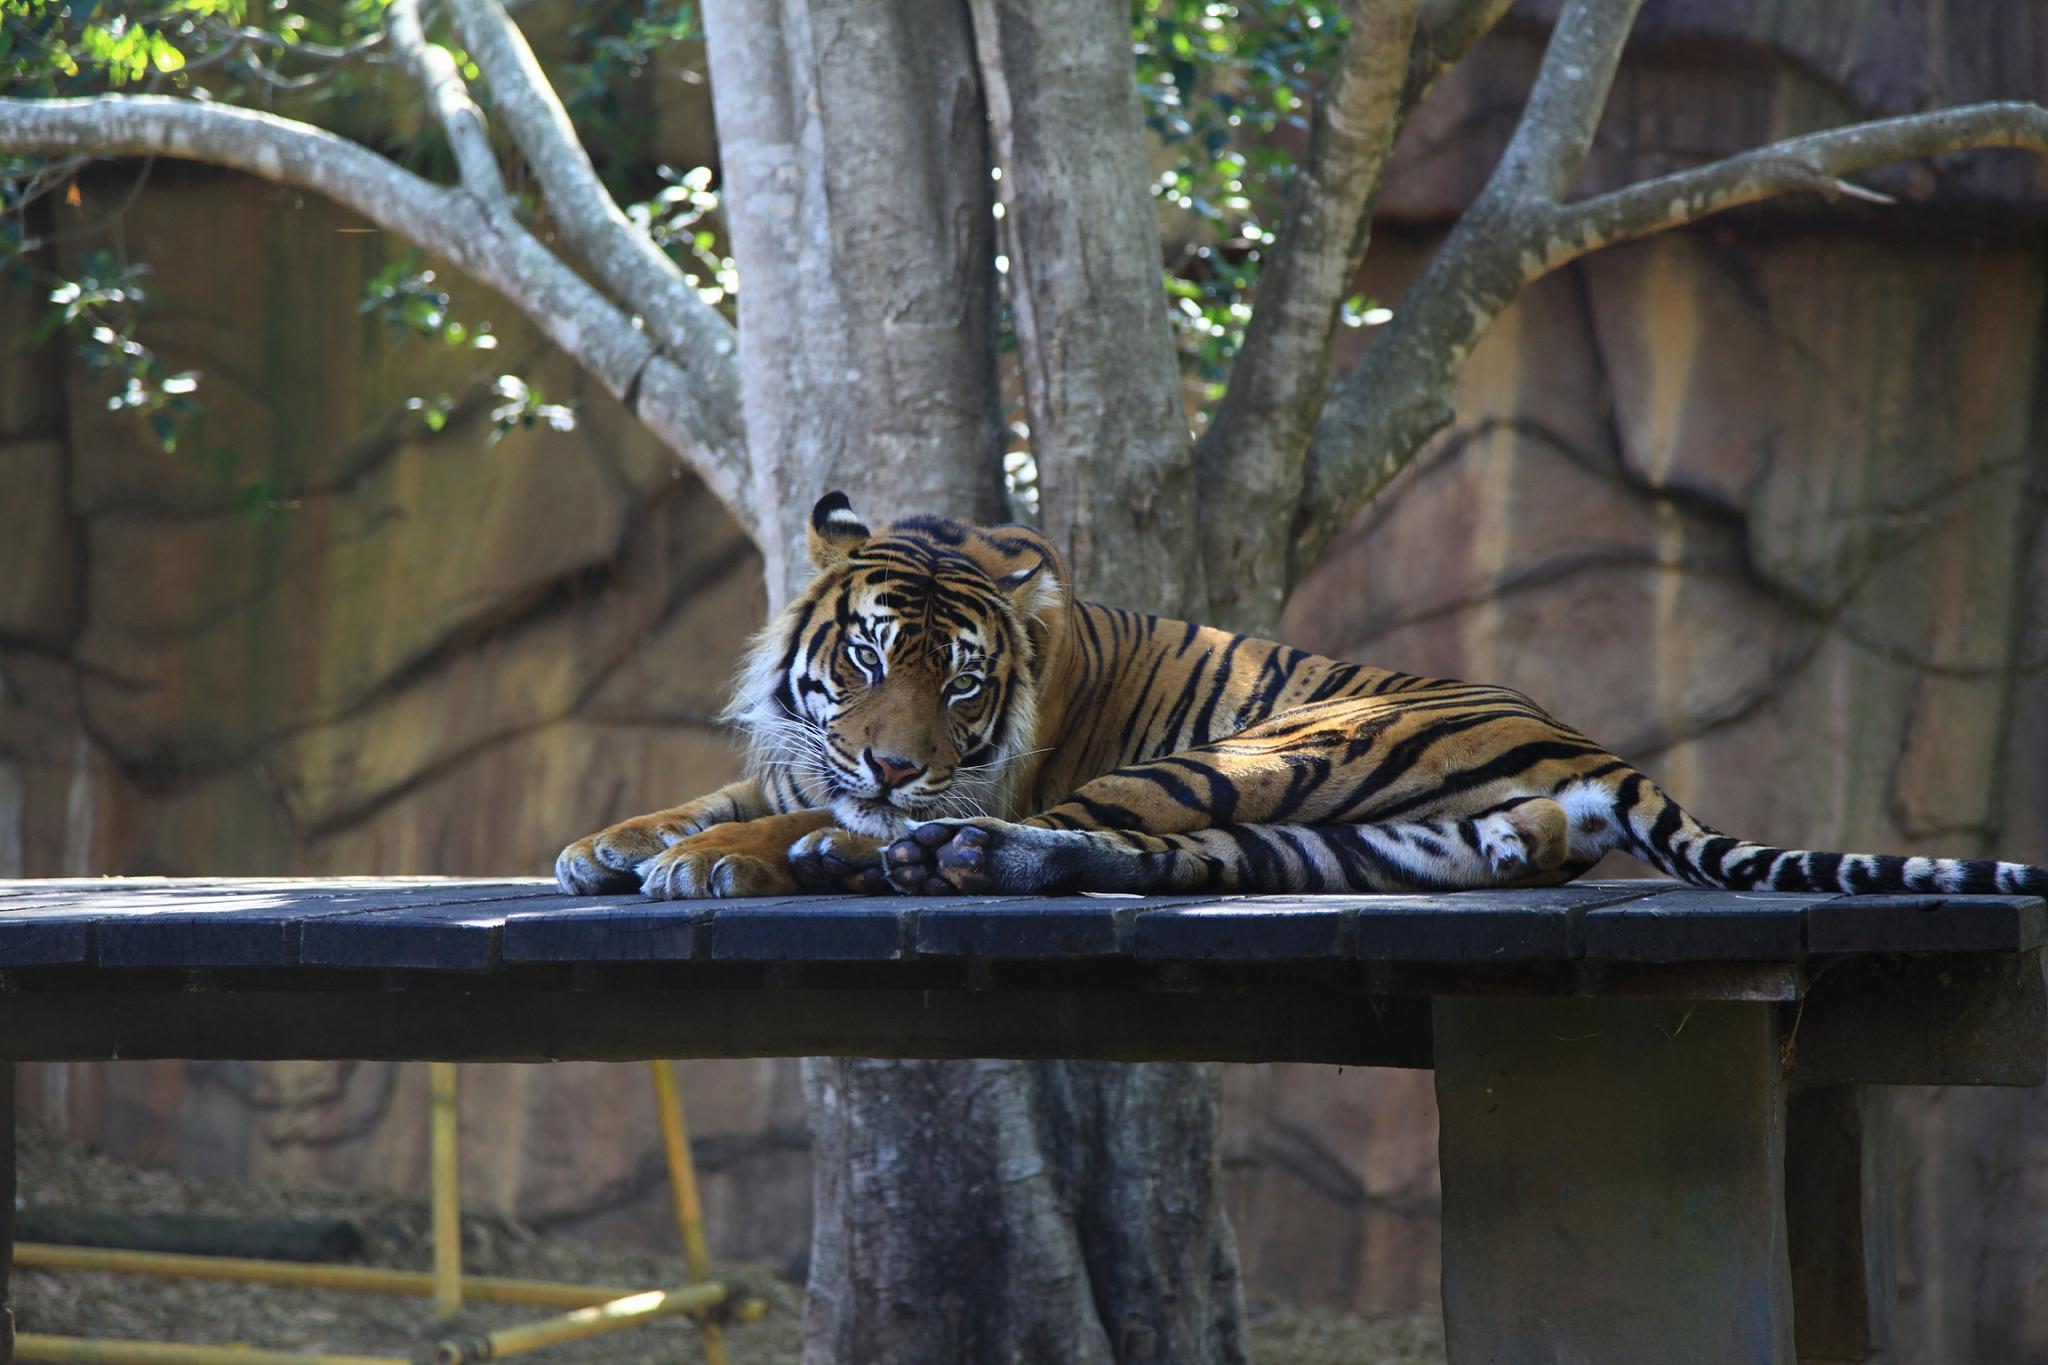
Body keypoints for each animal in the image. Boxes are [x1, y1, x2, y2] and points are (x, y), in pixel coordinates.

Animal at [552, 493, 2048, 908]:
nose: (896, 766)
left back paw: (878, 854)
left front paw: (707, 858)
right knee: (1126, 860)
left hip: (1258, 750)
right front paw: (606, 843)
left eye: (960, 682)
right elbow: (737, 783)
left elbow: (776, 814)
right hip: (1333, 838)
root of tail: (1580, 745)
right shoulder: (810, 750)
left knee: (1046, 838)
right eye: (866, 664)